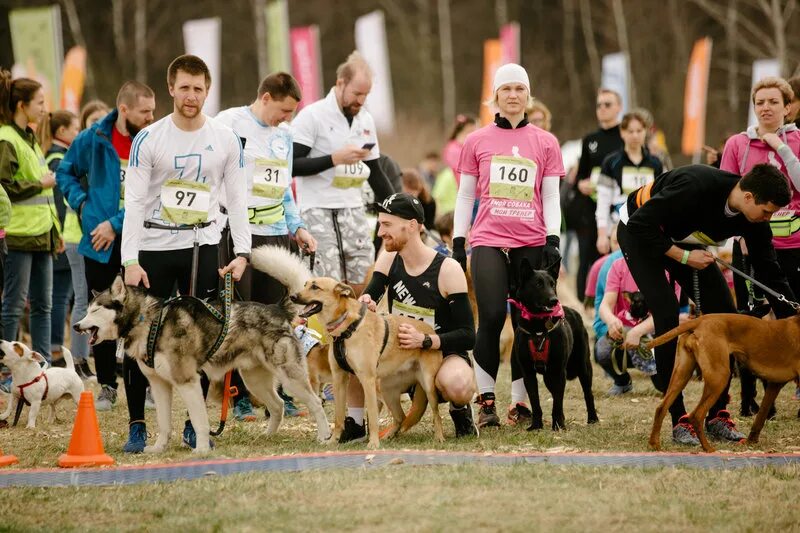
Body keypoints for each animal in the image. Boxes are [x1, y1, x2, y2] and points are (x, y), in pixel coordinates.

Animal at [512, 260, 600, 430]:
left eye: (552, 284)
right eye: (538, 284)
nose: (554, 300)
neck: (538, 328)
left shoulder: (559, 371)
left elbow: (558, 403)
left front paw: (558, 426)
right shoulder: (528, 373)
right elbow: (536, 402)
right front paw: (536, 426)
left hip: (583, 367)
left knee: (588, 393)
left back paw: (593, 419)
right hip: (548, 377)